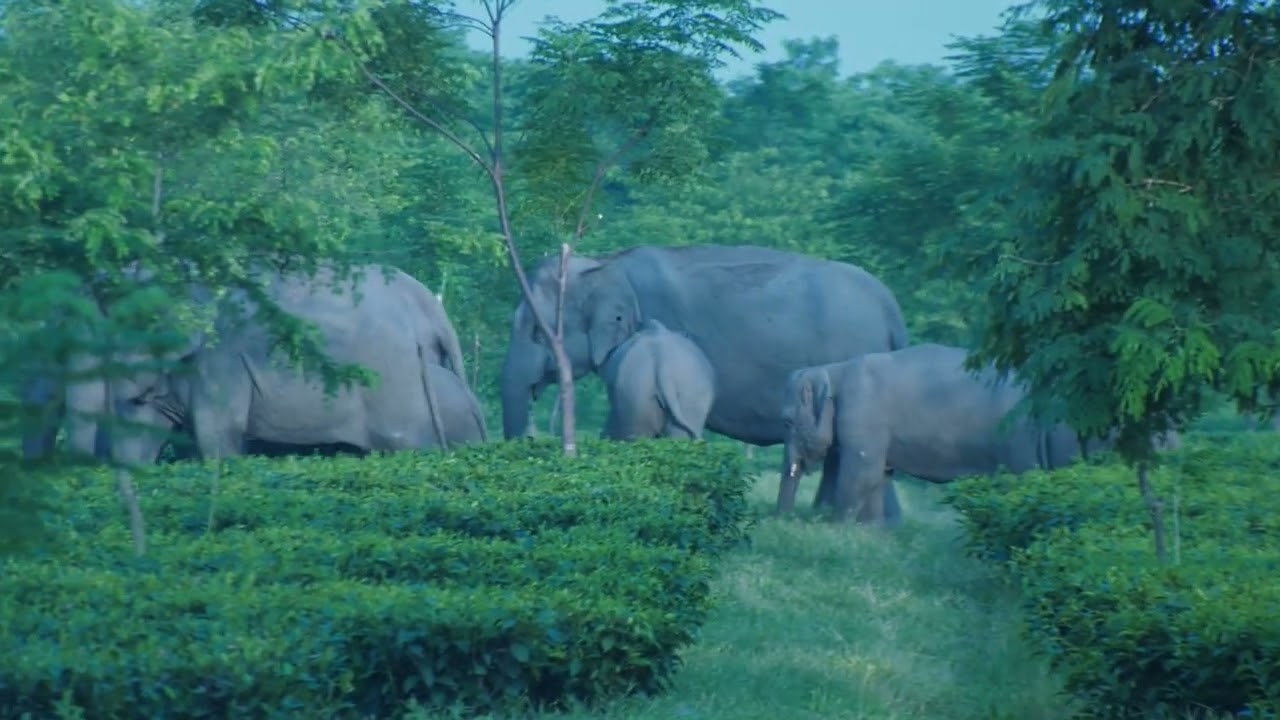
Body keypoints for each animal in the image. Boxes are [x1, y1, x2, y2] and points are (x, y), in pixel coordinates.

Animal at [778, 343, 1179, 526]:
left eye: (786, 422)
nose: (781, 521)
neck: (835, 368)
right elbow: (878, 475)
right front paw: (870, 533)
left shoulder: (864, 416)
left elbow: (860, 472)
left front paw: (836, 528)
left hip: (1024, 440)